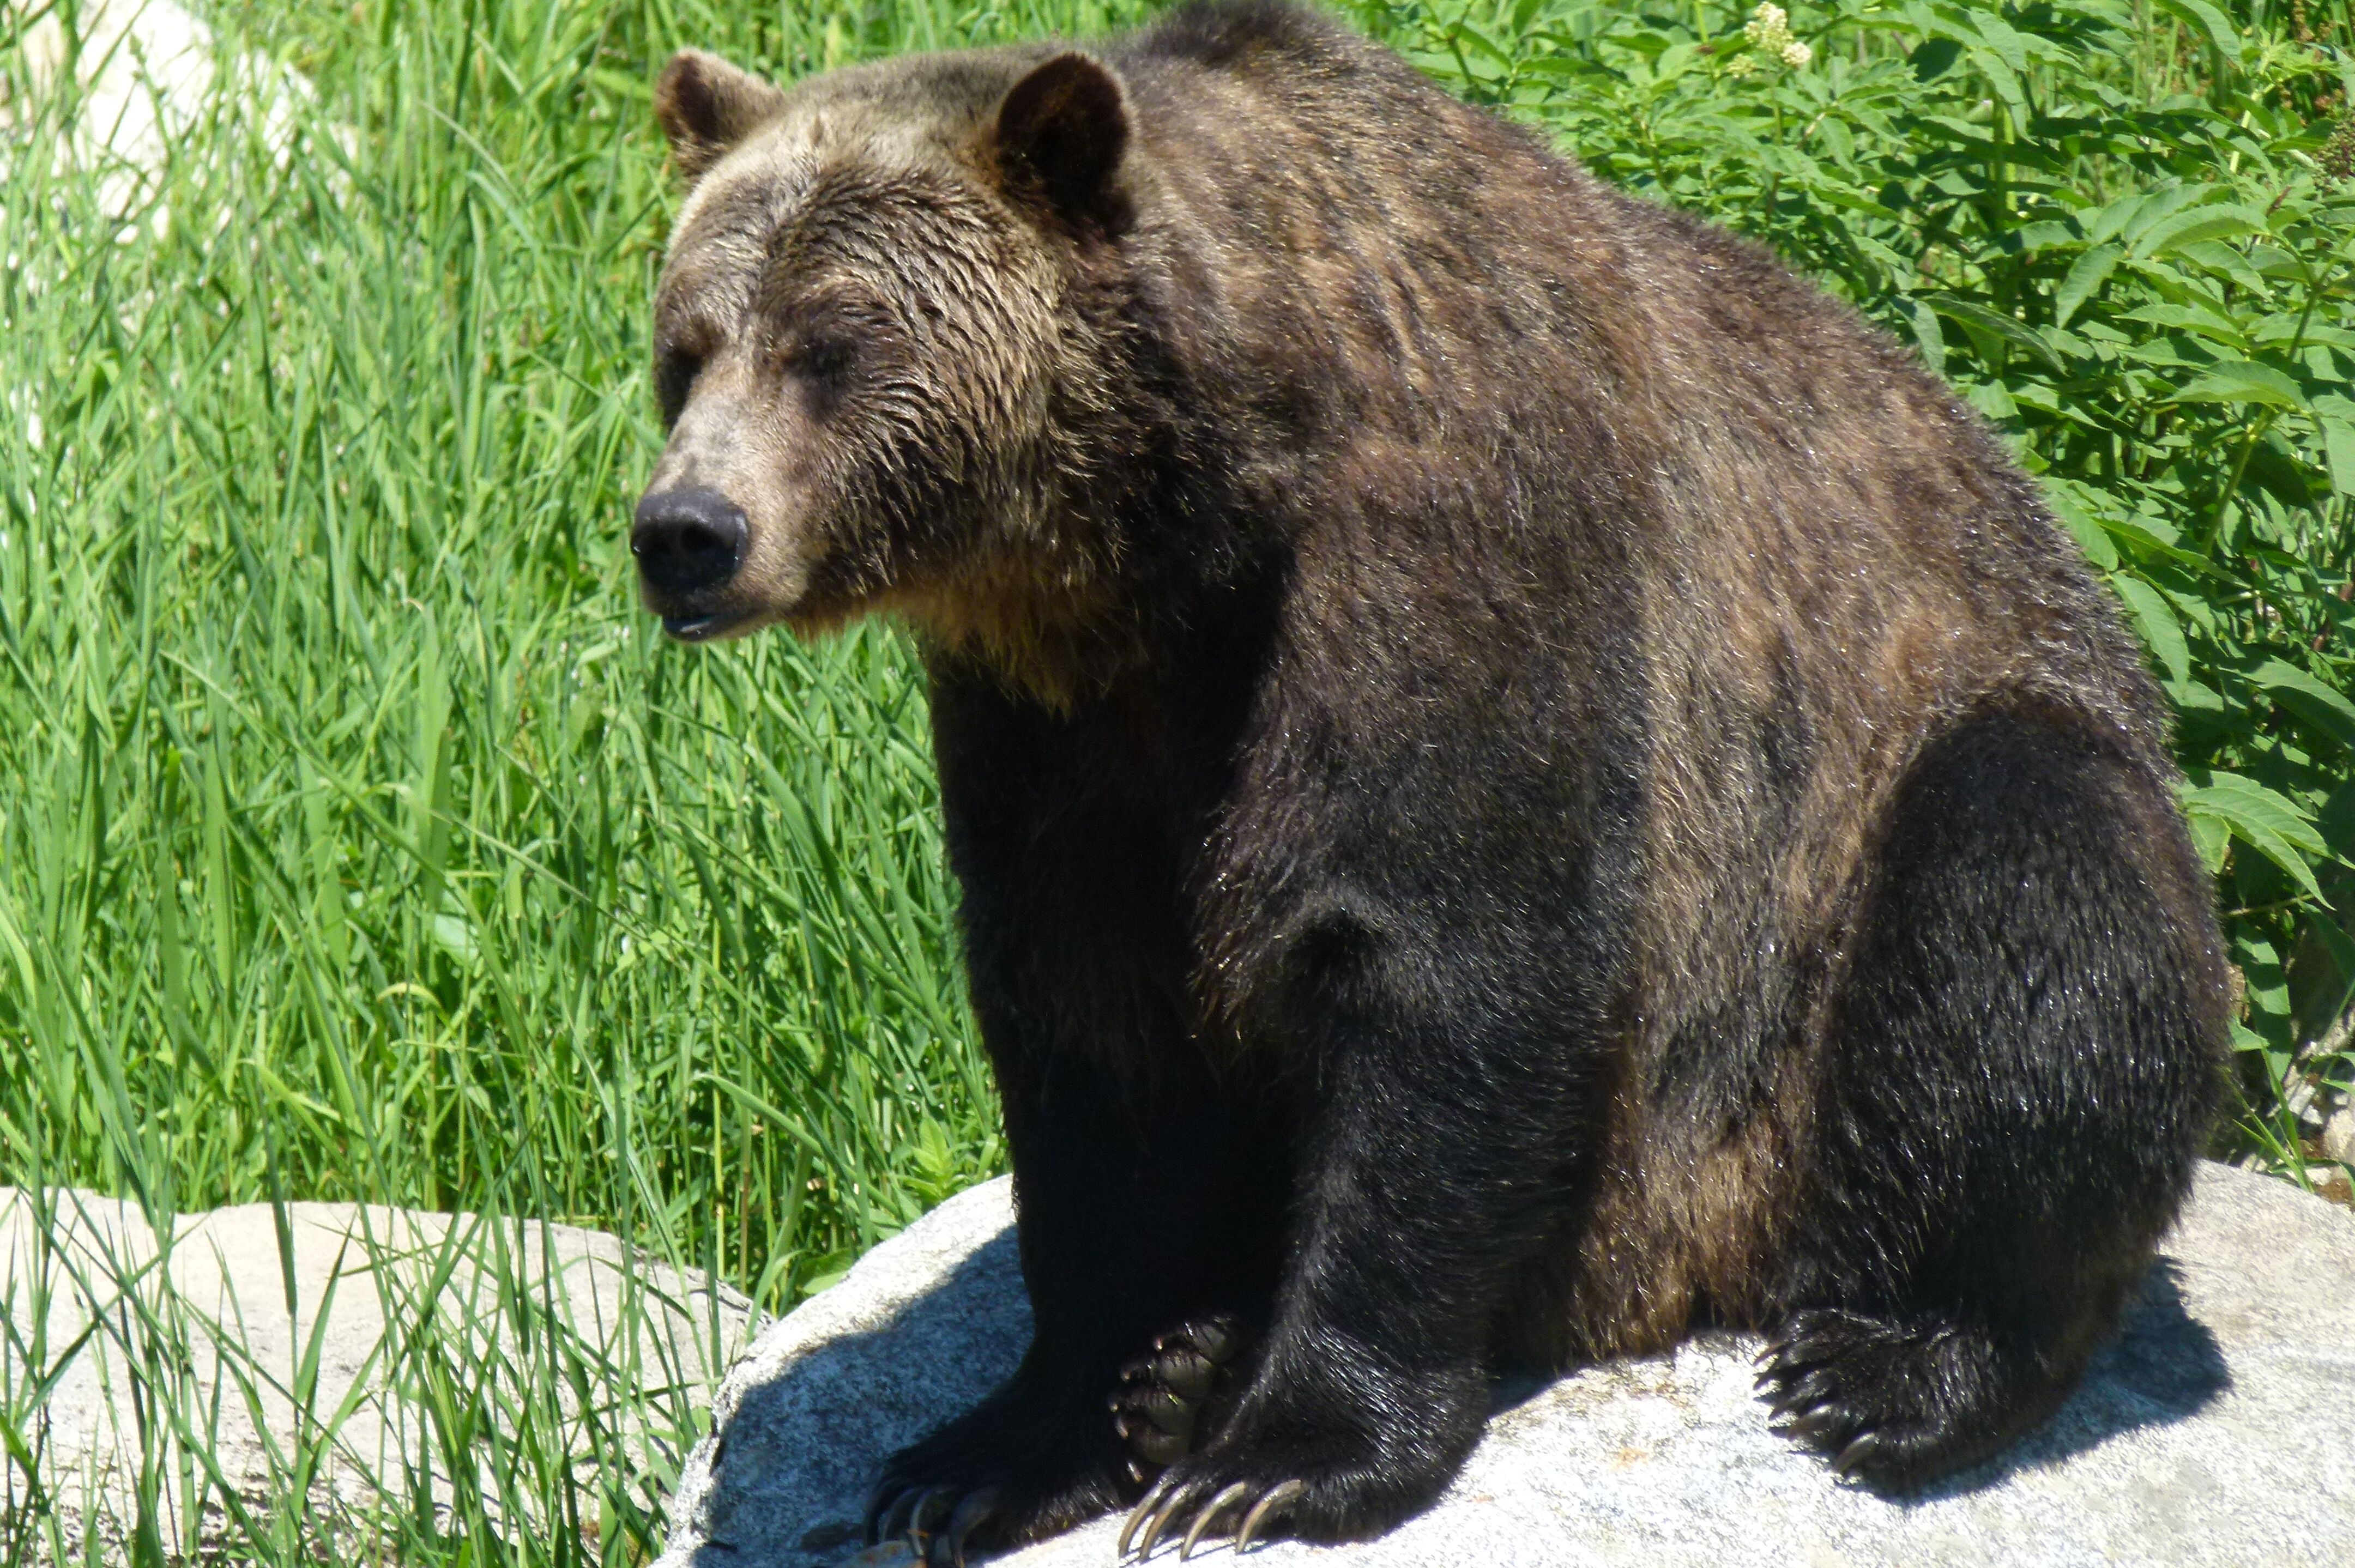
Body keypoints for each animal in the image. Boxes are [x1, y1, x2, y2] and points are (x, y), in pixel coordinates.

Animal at [626, 6, 2223, 1554]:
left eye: (833, 344)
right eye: (687, 346)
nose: (686, 530)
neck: (1179, 529)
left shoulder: (1451, 557)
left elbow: (1446, 964)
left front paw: (1281, 1456)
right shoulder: (1062, 714)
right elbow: (1088, 1028)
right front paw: (1000, 1448)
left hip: (1877, 900)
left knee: (2030, 909)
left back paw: (1900, 1365)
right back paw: (1188, 1365)